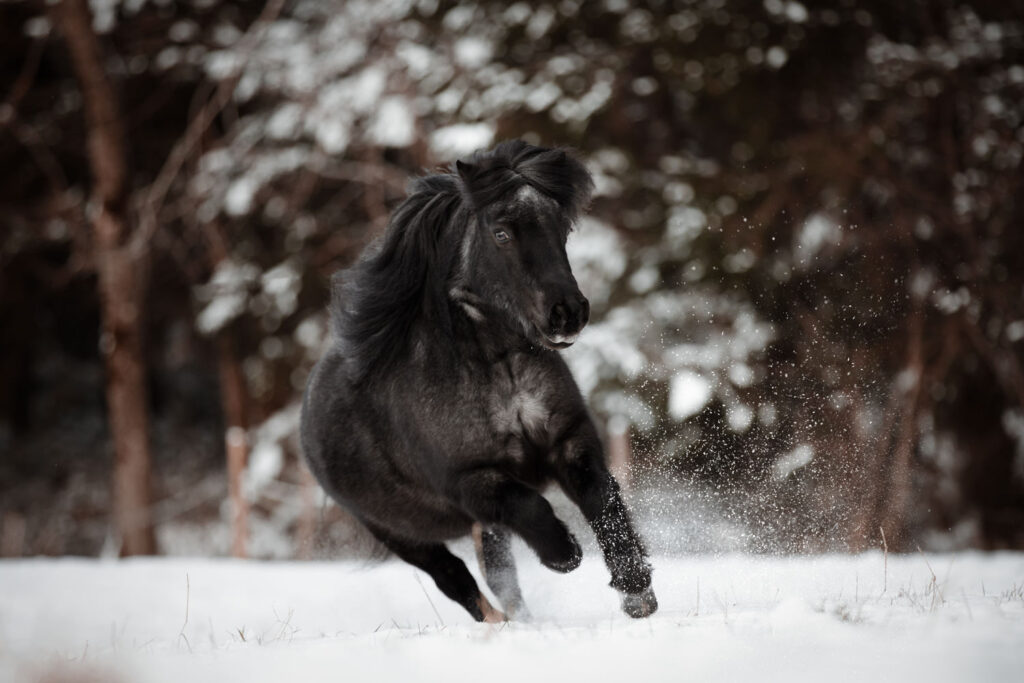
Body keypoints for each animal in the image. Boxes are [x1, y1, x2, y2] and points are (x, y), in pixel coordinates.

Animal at [300, 140, 657, 622]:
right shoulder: (471, 480)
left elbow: (602, 498)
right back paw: (502, 623)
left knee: (498, 575)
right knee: (458, 580)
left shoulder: (569, 440)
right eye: (501, 233)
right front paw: (564, 554)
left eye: (561, 226)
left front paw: (637, 591)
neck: (499, 367)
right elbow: (533, 507)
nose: (567, 313)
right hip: (399, 534)